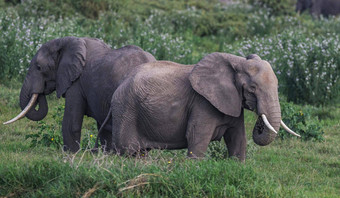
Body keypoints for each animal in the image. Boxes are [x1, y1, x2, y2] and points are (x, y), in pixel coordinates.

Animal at [4, 36, 156, 152]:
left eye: (39, 67)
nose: (40, 91)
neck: (67, 41)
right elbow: (103, 127)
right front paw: (107, 155)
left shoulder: (76, 83)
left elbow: (71, 123)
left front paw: (71, 155)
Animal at [100, 52, 298, 161]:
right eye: (252, 89)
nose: (259, 123)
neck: (237, 62)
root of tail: (120, 84)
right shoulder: (202, 103)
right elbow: (197, 137)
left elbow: (238, 139)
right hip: (126, 110)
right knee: (127, 151)